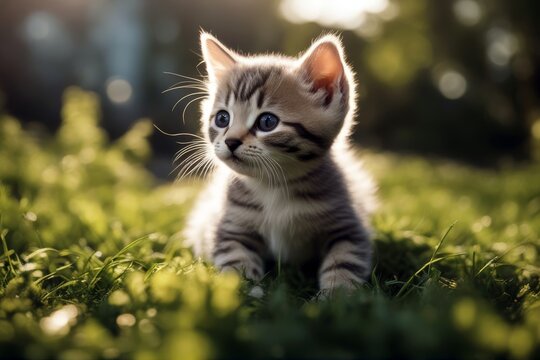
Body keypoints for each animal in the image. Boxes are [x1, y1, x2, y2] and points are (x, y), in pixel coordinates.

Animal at [181, 32, 376, 292]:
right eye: (222, 118)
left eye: (267, 122)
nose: (231, 141)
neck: (273, 186)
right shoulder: (231, 228)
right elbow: (235, 262)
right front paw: (246, 292)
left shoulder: (349, 227)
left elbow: (344, 262)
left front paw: (336, 295)